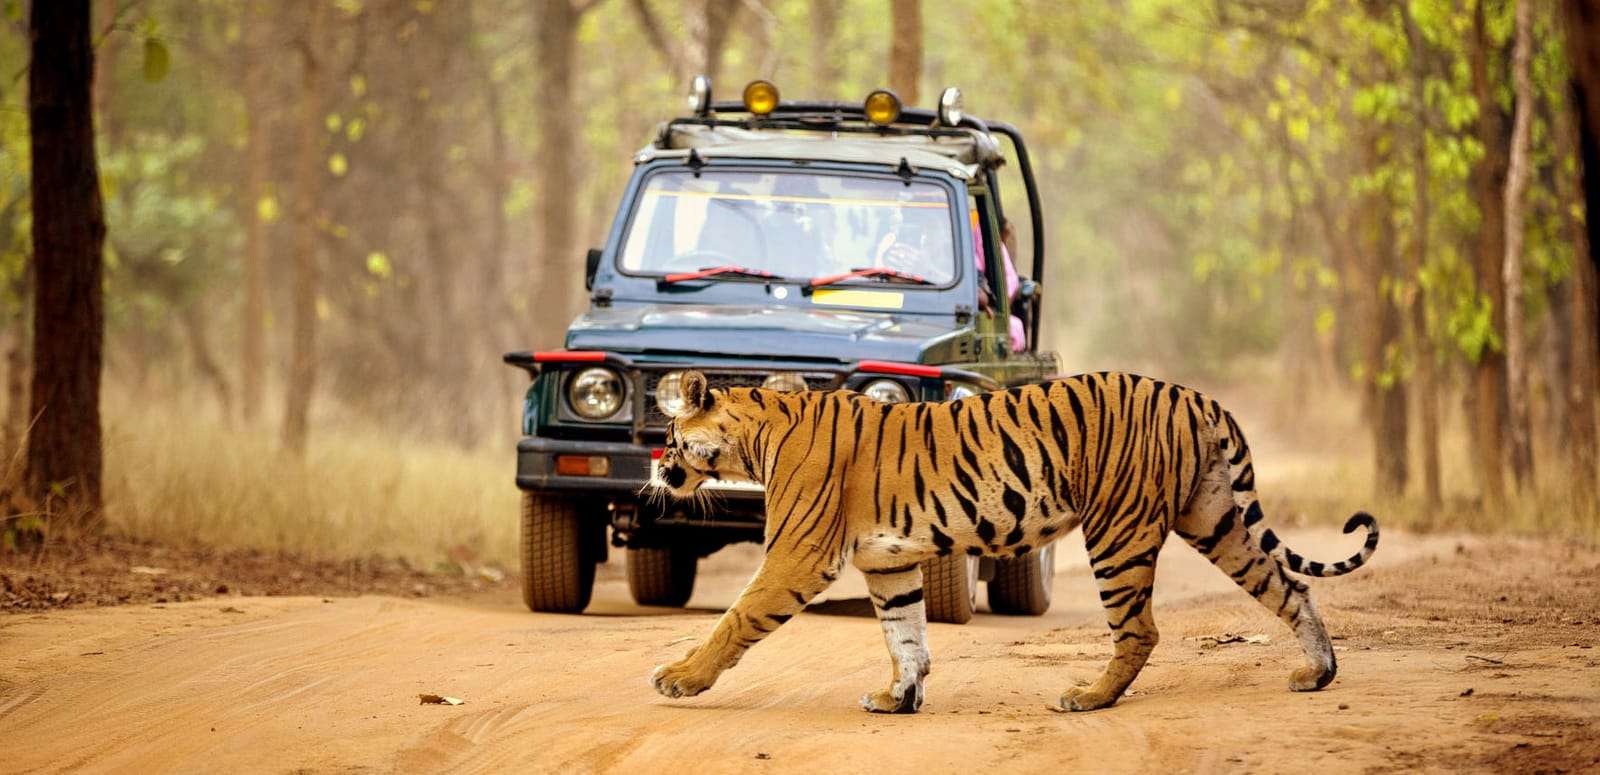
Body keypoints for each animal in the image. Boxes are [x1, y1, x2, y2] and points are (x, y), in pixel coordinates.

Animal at [649, 370, 1379, 713]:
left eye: (671, 436)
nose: (657, 468)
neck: (755, 437)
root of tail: (1193, 395)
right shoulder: (889, 565)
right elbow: (905, 636)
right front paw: (898, 699)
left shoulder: (798, 555)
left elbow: (736, 618)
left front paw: (679, 677)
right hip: (1215, 519)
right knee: (1289, 585)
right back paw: (1318, 674)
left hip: (1117, 530)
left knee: (1140, 629)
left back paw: (1088, 697)